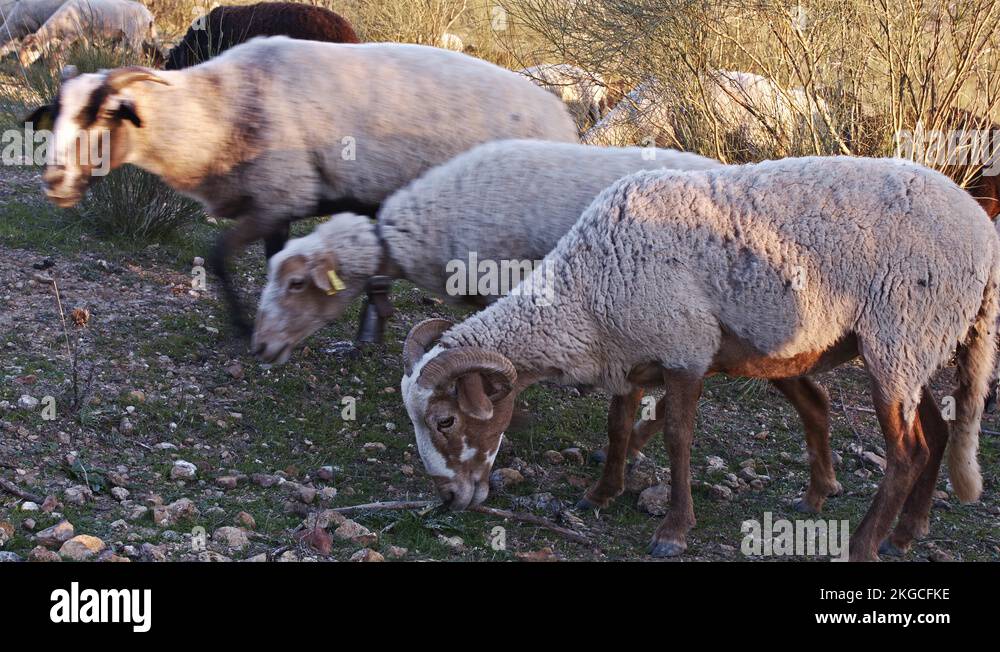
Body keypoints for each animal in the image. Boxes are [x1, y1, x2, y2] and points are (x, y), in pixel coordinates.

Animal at [18, 0, 156, 65]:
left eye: (30, 49)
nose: (22, 63)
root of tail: (149, 16)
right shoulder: (83, 36)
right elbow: (85, 51)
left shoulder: (72, 35)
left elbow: (56, 54)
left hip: (135, 36)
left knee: (140, 56)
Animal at [25, 35, 580, 336]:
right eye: (57, 115)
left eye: (104, 115)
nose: (54, 183)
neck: (218, 112)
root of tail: (564, 122)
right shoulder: (276, 207)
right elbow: (270, 259)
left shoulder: (279, 197)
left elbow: (219, 255)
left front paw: (242, 327)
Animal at [400, 154, 1000, 560]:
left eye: (445, 419)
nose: (447, 498)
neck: (584, 297)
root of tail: (982, 232)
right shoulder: (630, 353)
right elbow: (618, 424)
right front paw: (603, 492)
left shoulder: (684, 350)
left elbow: (677, 438)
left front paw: (673, 529)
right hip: (917, 343)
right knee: (937, 433)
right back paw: (906, 532)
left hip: (900, 334)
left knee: (907, 451)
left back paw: (863, 543)